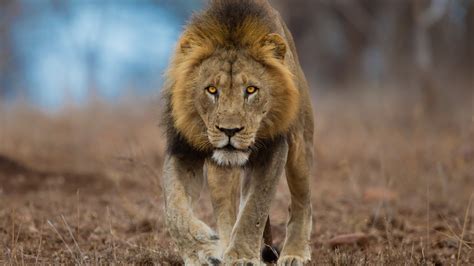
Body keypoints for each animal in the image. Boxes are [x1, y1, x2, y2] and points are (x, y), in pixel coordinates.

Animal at [161, 0, 312, 264]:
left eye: (251, 89)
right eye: (211, 89)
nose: (229, 130)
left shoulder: (274, 148)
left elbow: (255, 209)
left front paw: (242, 257)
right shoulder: (182, 149)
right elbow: (174, 209)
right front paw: (201, 250)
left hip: (299, 146)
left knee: (302, 200)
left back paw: (294, 252)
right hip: (219, 174)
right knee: (227, 210)